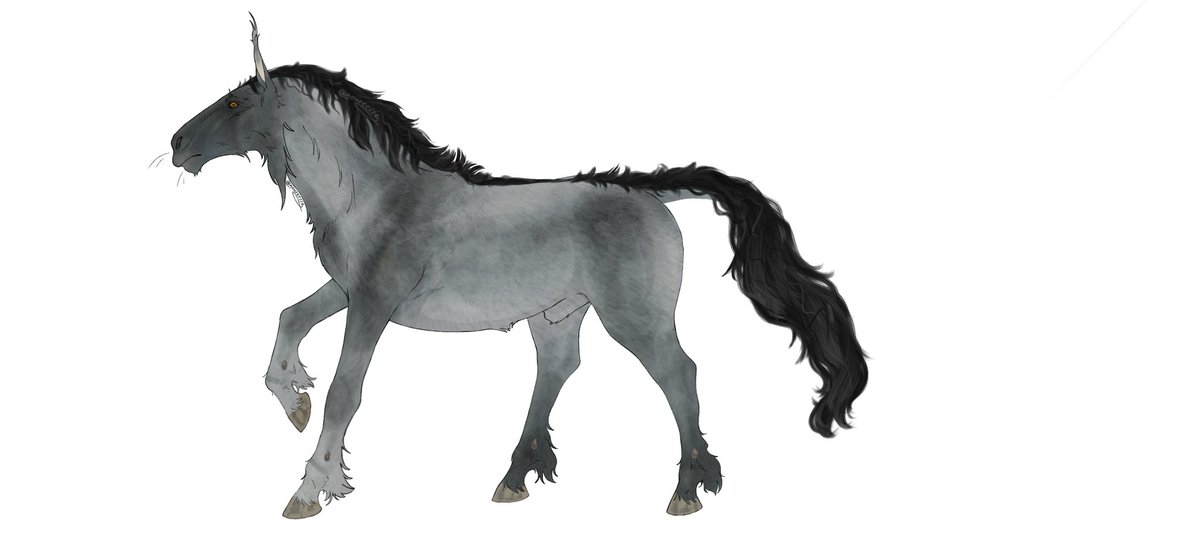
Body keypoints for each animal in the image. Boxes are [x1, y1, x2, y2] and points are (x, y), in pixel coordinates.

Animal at [169, 15, 868, 519]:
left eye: (235, 104)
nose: (177, 144)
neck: (376, 192)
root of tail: (647, 193)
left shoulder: (372, 305)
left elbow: (347, 392)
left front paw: (311, 489)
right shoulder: (348, 289)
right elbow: (289, 318)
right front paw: (293, 401)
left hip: (635, 319)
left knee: (679, 373)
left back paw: (688, 488)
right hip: (557, 313)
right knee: (559, 368)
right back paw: (515, 476)